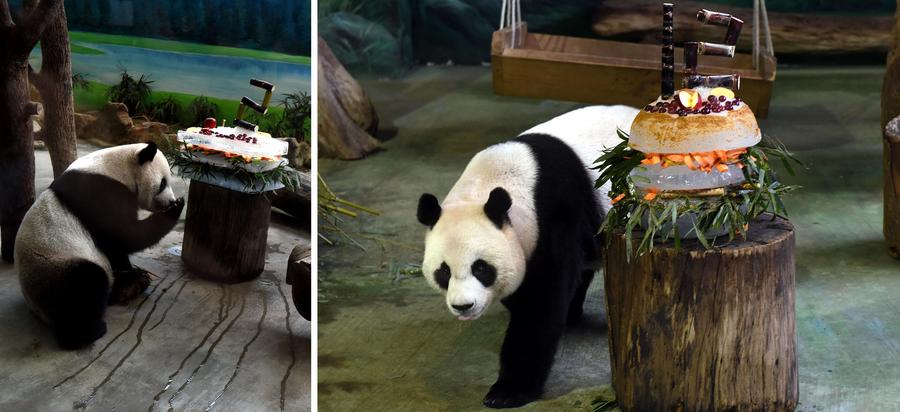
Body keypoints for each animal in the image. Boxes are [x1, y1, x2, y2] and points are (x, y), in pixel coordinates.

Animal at [15, 142, 183, 349]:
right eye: (162, 183)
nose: (170, 201)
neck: (118, 168)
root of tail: (36, 309)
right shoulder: (102, 193)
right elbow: (125, 235)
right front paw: (176, 208)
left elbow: (116, 247)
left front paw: (133, 272)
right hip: (56, 265)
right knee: (85, 285)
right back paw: (89, 332)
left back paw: (131, 284)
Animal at [416, 105, 640, 408]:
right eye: (444, 271)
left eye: (481, 268)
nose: (463, 306)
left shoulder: (553, 215)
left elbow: (541, 301)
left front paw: (507, 391)